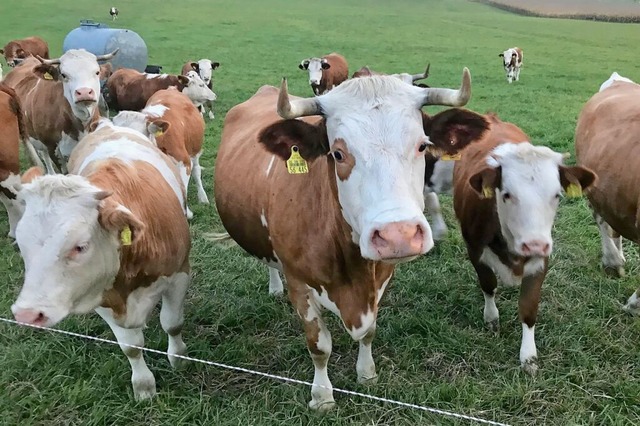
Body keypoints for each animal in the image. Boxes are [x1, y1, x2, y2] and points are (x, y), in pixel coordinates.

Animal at [10, 117, 190, 402]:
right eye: (21, 243)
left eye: (80, 246)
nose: (27, 314)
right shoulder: (100, 293)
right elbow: (131, 347)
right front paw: (144, 386)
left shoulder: (179, 276)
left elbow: (172, 324)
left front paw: (179, 360)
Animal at [215, 69, 476, 410]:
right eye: (338, 153)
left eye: (422, 146)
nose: (399, 235)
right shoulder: (299, 282)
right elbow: (319, 345)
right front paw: (322, 396)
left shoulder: (382, 276)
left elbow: (369, 332)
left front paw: (367, 373)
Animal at [444, 109, 596, 372]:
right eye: (506, 194)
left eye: (557, 195)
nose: (533, 244)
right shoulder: (474, 249)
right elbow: (488, 284)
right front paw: (491, 318)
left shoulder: (541, 258)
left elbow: (528, 308)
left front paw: (529, 356)